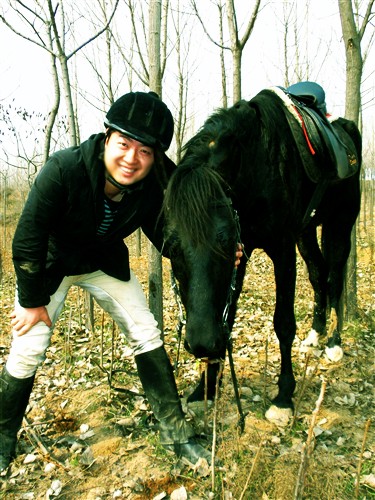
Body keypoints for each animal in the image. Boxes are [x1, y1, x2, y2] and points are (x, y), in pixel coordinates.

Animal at [163, 86, 362, 422]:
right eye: (172, 248)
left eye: (225, 242)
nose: (202, 343)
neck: (255, 166)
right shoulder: (244, 254)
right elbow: (227, 318)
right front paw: (205, 389)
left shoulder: (280, 248)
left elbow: (283, 322)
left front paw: (283, 397)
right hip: (306, 232)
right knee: (319, 274)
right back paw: (315, 335)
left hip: (339, 223)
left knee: (334, 277)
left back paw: (334, 343)